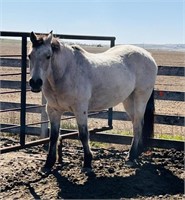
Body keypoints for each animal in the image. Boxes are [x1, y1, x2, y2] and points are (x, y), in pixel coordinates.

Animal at [28, 31, 158, 173]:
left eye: (48, 56)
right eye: (29, 56)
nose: (35, 83)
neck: (65, 73)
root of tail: (148, 55)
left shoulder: (80, 110)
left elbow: (83, 135)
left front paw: (87, 164)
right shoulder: (53, 110)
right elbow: (53, 136)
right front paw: (48, 164)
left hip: (140, 98)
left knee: (138, 125)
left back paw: (131, 156)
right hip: (129, 100)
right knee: (136, 124)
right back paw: (134, 154)